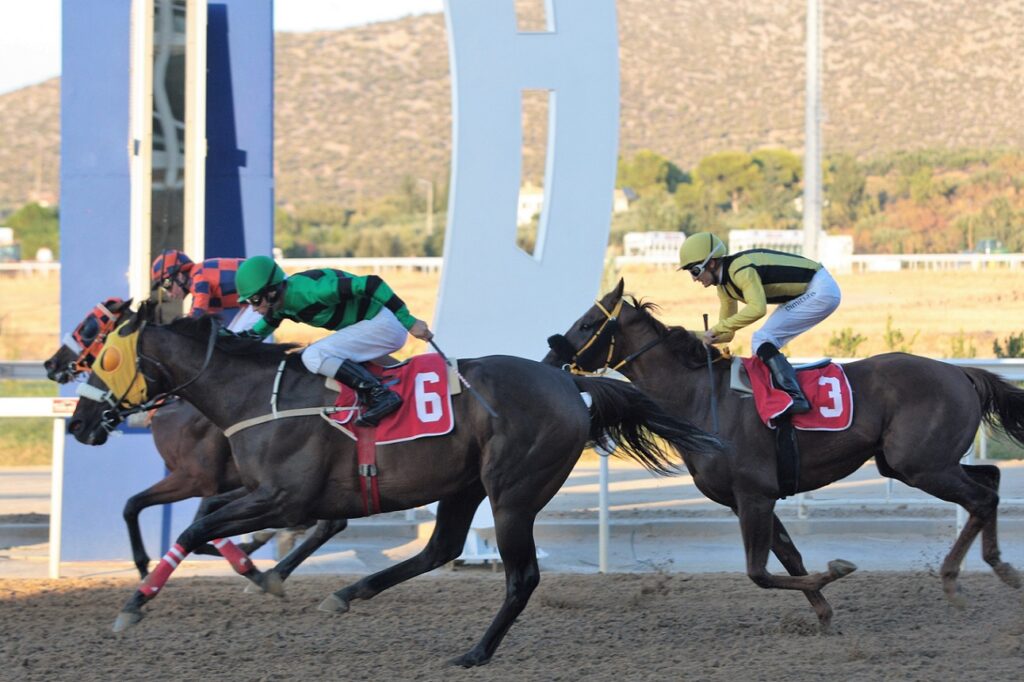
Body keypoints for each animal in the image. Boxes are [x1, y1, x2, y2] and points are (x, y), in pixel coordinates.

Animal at [44, 301, 344, 577]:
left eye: (89, 329)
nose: (50, 364)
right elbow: (134, 506)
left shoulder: (196, 478)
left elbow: (180, 518)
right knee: (331, 523)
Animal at [548, 278, 1024, 626]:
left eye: (587, 324)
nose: (552, 357)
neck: (701, 397)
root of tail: (961, 373)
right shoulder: (747, 499)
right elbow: (790, 557)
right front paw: (824, 612)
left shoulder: (755, 494)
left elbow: (759, 573)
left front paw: (838, 571)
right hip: (916, 463)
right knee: (991, 479)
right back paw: (997, 566)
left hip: (921, 465)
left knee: (982, 497)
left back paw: (960, 579)